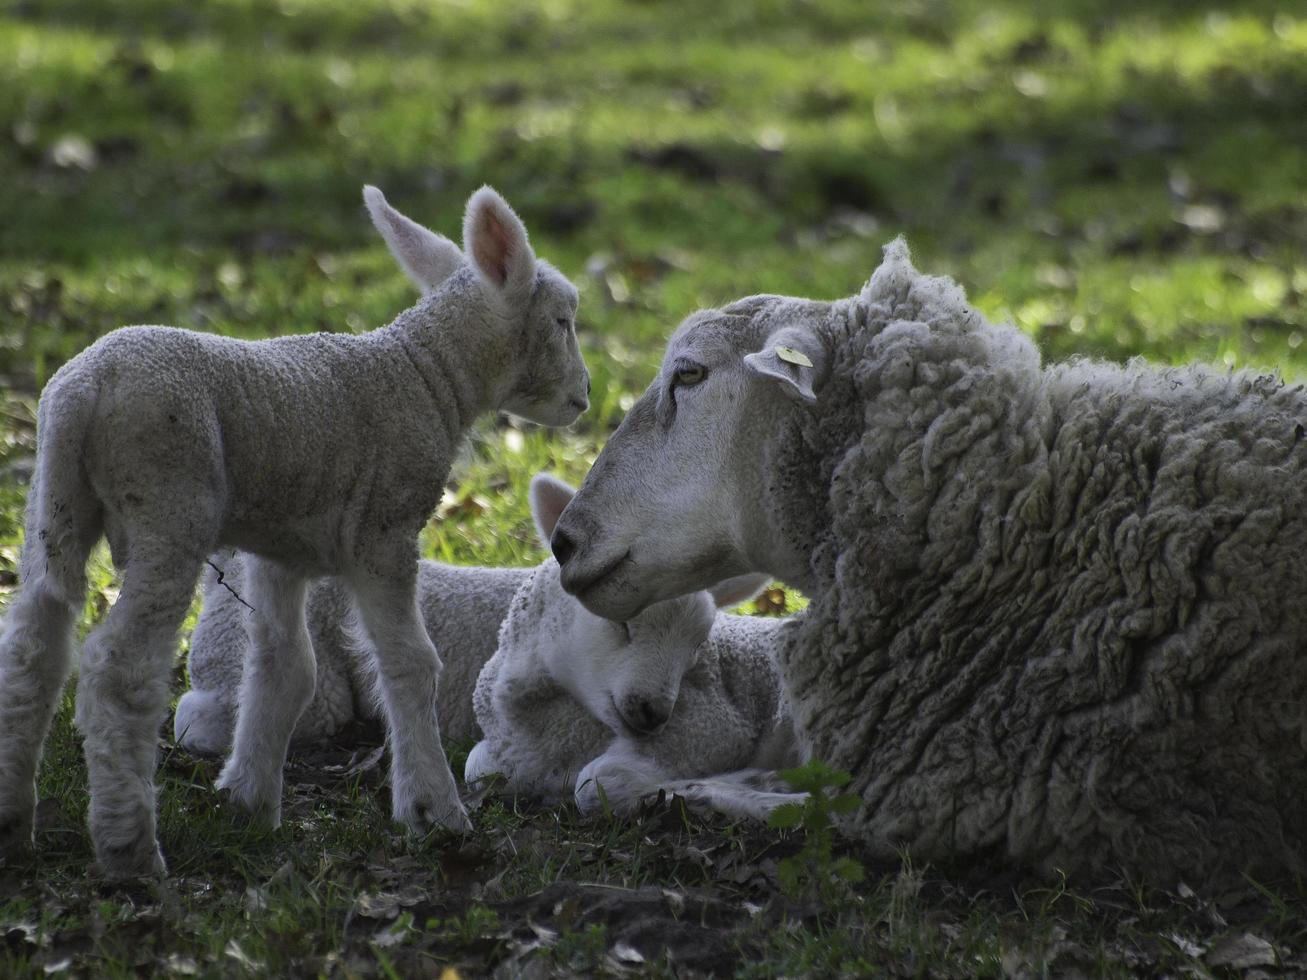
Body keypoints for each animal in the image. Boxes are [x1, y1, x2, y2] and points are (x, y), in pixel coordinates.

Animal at [0, 185, 590, 883]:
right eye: (563, 320)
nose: (585, 397)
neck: (425, 374)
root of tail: (84, 390)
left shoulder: (283, 549)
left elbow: (286, 670)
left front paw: (249, 803)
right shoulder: (384, 533)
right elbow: (410, 663)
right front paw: (432, 811)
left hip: (55, 501)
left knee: (32, 646)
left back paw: (13, 823)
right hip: (168, 503)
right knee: (117, 672)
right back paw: (130, 848)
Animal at [465, 475, 799, 815]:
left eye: (696, 644)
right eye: (622, 622)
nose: (654, 713)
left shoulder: (713, 728)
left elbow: (595, 782)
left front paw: (742, 786)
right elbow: (474, 768)